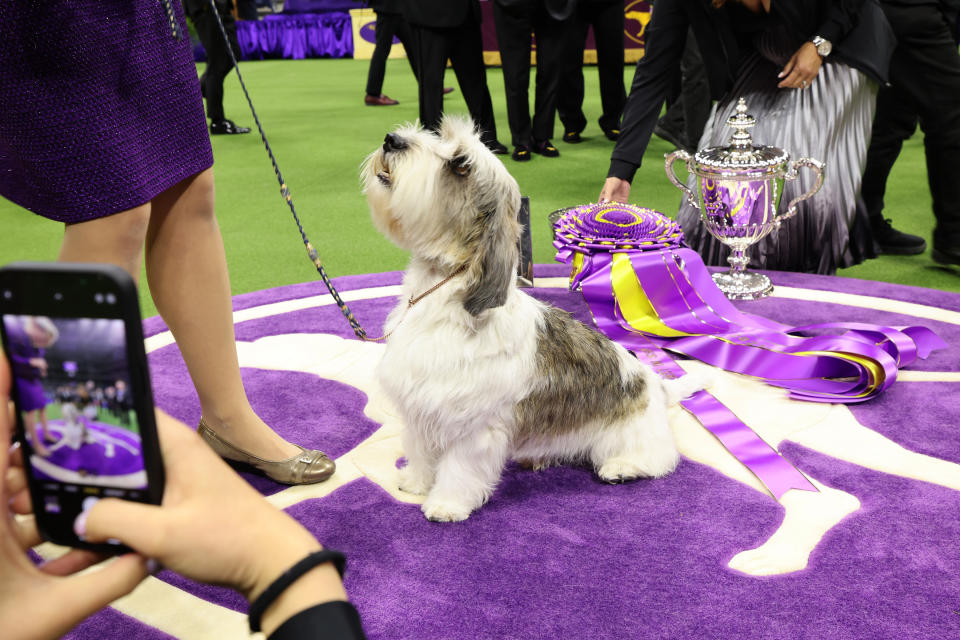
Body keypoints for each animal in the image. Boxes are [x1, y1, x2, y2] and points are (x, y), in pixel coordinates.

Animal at [360, 117, 704, 524]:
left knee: (660, 458)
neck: (446, 295)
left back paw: (621, 468)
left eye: (460, 165)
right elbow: (420, 450)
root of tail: (655, 384)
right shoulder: (420, 408)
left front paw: (446, 505)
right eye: (441, 135)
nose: (392, 140)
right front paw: (415, 482)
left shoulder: (474, 428)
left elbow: (458, 470)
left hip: (629, 437)